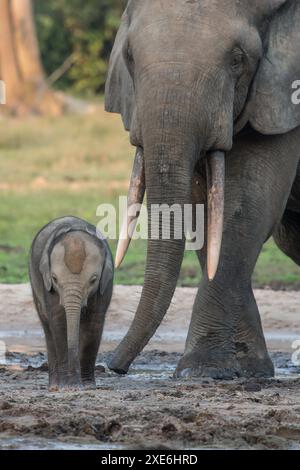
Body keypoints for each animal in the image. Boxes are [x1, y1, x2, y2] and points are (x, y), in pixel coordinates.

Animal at [29, 216, 113, 390]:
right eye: (54, 279)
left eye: (93, 280)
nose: (74, 385)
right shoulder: (47, 284)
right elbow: (59, 322)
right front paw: (67, 387)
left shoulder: (105, 285)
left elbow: (94, 324)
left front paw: (88, 386)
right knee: (48, 330)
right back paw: (54, 386)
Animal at [104, 0, 298, 378]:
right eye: (130, 57)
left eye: (237, 59)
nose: (111, 366)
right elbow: (200, 211)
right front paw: (247, 369)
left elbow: (247, 202)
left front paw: (203, 370)